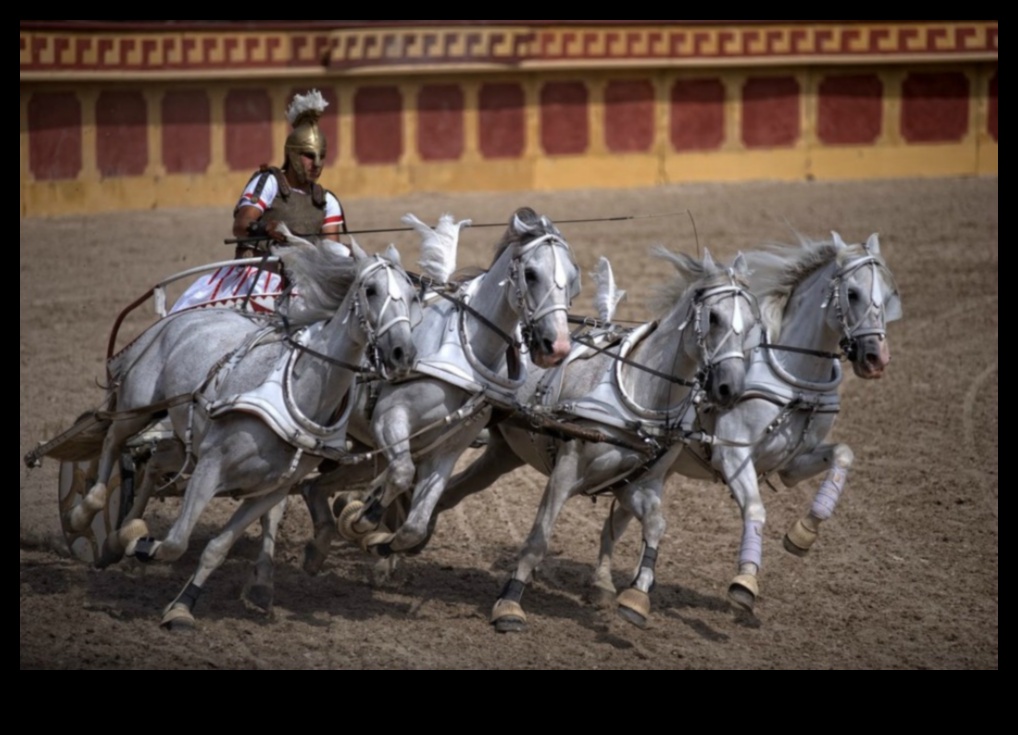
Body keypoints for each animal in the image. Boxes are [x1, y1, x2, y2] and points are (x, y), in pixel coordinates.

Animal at [60, 237, 421, 627]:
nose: (402, 353)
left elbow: (217, 547)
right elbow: (176, 541)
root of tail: (178, 319)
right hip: (137, 406)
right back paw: (85, 513)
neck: (297, 394)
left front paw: (182, 605)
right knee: (112, 441)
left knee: (153, 463)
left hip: (182, 439)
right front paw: (139, 544)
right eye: (370, 290)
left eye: (412, 295)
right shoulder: (210, 467)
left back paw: (118, 535)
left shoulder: (271, 489)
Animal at [301, 205, 582, 561]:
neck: (463, 359)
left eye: (573, 279)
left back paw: (319, 544)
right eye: (531, 274)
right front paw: (365, 516)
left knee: (312, 486)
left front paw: (379, 541)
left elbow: (414, 527)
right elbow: (401, 473)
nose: (556, 346)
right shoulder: (389, 418)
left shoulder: (446, 450)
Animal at [433, 249, 761, 627]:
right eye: (715, 317)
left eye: (752, 323)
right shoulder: (566, 470)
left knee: (452, 492)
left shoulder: (637, 484)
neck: (638, 394)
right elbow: (539, 540)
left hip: (502, 454)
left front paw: (636, 596)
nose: (730, 389)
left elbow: (656, 526)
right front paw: (510, 602)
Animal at [594, 230, 903, 618]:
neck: (792, 375)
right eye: (853, 294)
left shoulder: (792, 463)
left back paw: (618, 586)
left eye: (888, 294)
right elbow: (755, 509)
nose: (876, 359)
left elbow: (844, 454)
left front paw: (803, 533)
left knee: (617, 522)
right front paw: (745, 581)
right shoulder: (733, 456)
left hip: (650, 472)